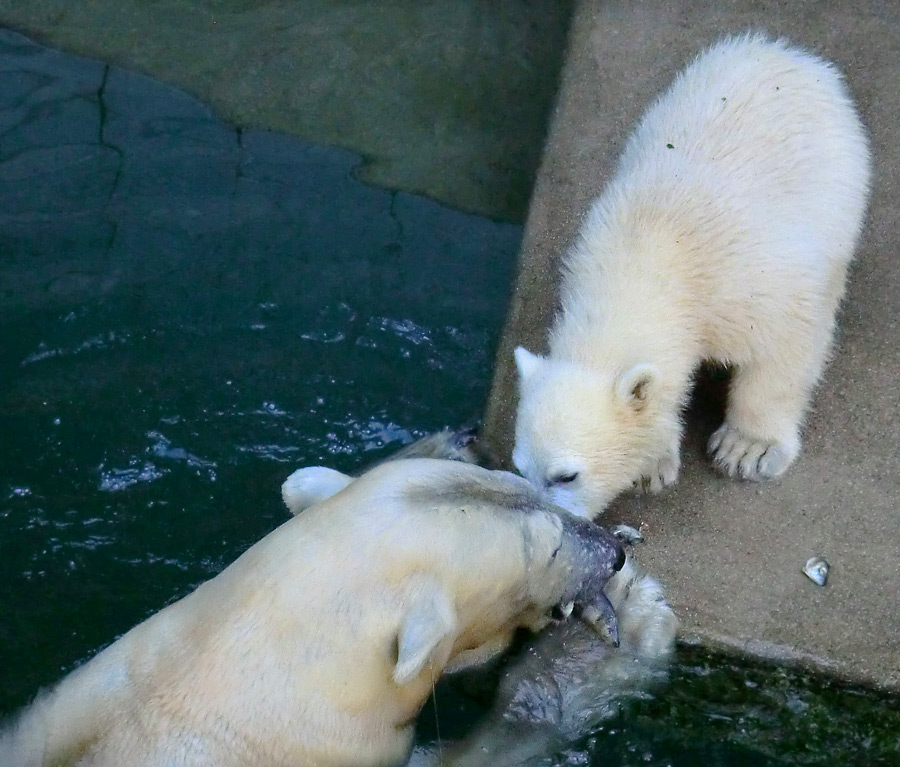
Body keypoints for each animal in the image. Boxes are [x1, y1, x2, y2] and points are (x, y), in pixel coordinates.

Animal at [512, 33, 872, 520]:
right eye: (519, 468)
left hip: (839, 184)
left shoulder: (751, 285)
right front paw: (653, 462)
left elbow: (786, 345)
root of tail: (785, 53)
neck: (650, 255)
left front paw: (748, 449)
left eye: (566, 476)